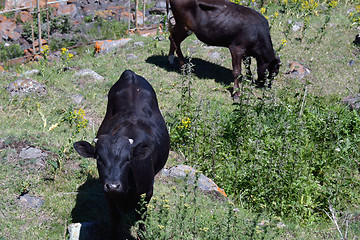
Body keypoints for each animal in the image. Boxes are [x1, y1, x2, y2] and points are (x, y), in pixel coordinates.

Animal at [73, 70, 170, 240]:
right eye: (99, 158)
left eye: (128, 160)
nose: (113, 185)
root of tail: (131, 74)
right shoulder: (108, 195)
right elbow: (115, 217)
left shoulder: (147, 192)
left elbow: (142, 217)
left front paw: (142, 234)